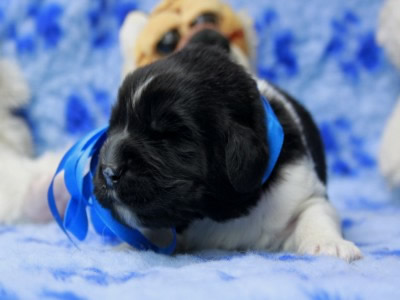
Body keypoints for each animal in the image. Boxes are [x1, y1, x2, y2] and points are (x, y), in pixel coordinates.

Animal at [94, 29, 362, 260]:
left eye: (168, 135)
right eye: (114, 126)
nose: (108, 170)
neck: (216, 214)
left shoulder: (302, 190)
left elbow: (315, 212)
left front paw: (329, 244)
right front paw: (128, 246)